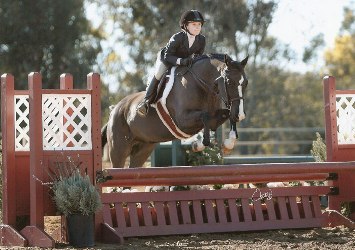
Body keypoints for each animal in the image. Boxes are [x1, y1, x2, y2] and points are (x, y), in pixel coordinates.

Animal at [101, 54, 249, 168]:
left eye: (245, 83)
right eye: (229, 82)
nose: (240, 115)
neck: (201, 84)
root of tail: (114, 110)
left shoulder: (216, 117)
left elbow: (225, 115)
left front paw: (228, 144)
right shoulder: (183, 121)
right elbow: (205, 116)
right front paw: (199, 144)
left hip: (143, 149)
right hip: (119, 150)